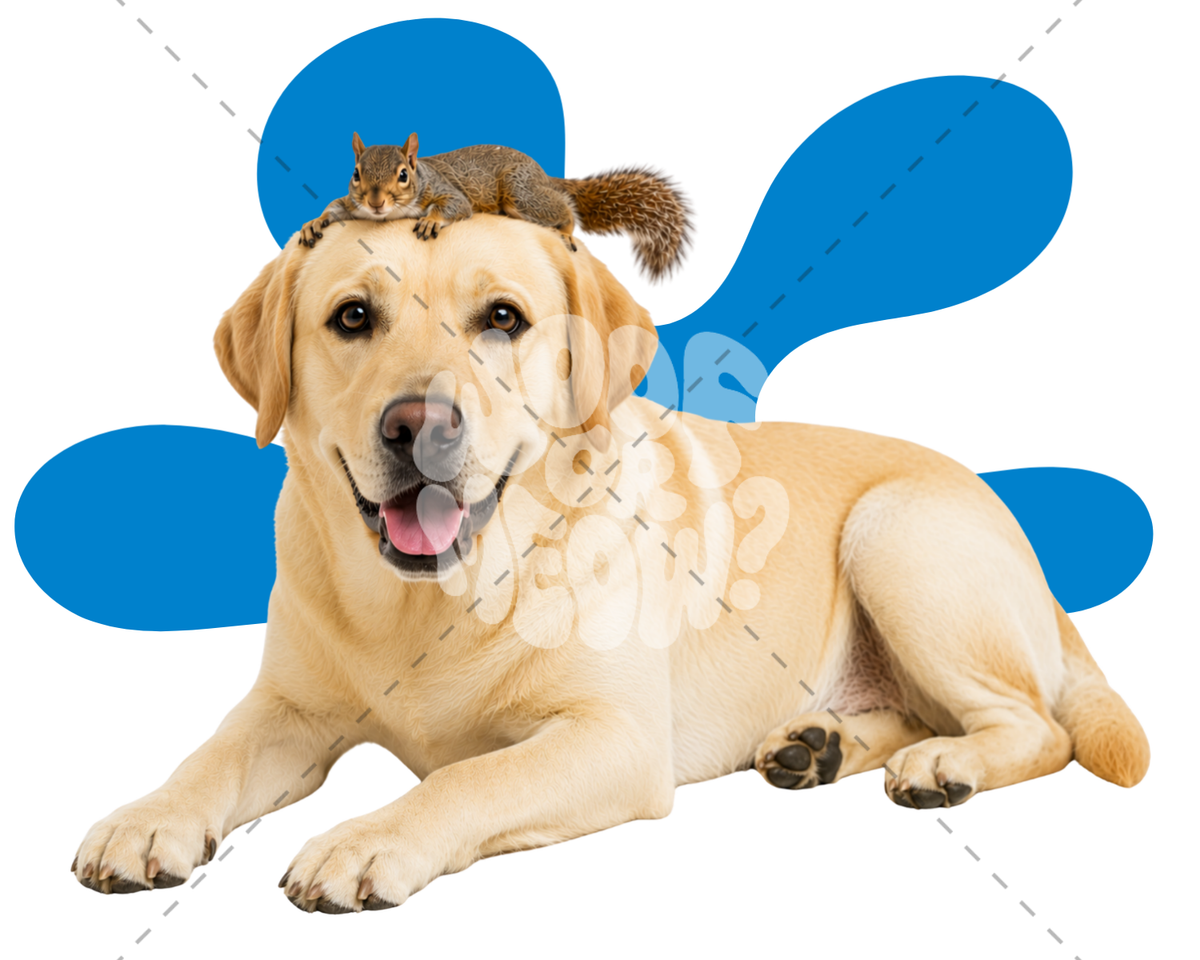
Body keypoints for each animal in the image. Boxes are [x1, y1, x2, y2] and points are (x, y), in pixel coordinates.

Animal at [299, 132, 693, 282]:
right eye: (355, 174)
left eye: (403, 175)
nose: (376, 200)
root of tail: (542, 174)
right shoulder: (353, 204)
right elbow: (335, 208)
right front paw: (314, 223)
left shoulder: (446, 191)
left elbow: (454, 205)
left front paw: (431, 221)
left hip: (521, 195)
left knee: (563, 210)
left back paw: (565, 231)